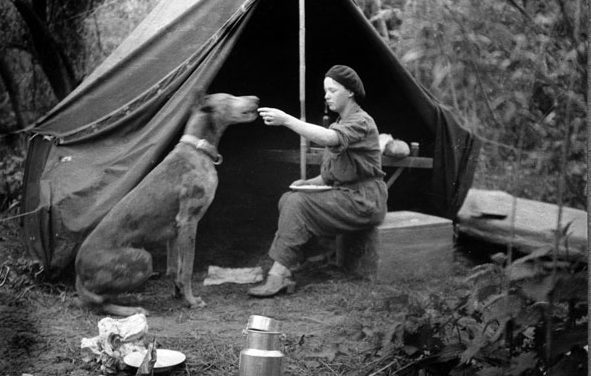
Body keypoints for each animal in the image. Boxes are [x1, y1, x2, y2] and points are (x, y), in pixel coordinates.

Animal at [74, 92, 260, 316]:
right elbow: (187, 269)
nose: (256, 99)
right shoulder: (188, 222)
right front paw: (191, 300)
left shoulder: (174, 232)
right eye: (230, 97)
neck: (198, 149)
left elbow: (175, 269)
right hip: (143, 260)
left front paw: (179, 293)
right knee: (98, 301)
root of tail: (78, 273)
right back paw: (131, 309)